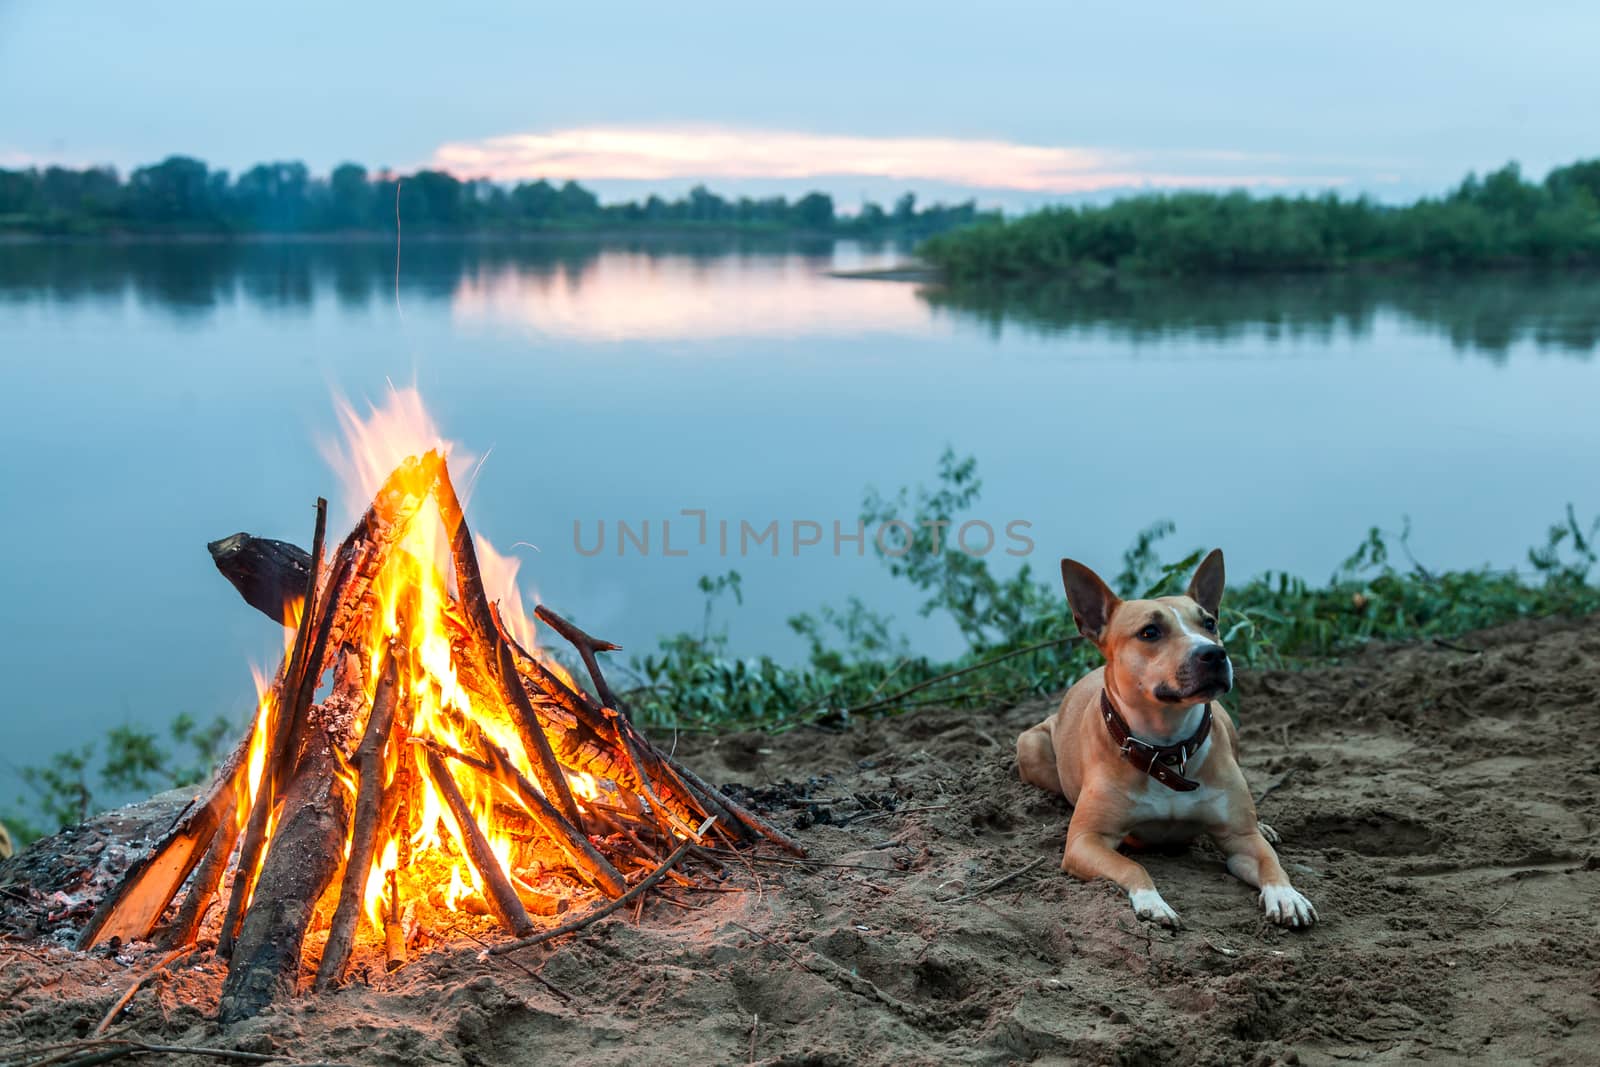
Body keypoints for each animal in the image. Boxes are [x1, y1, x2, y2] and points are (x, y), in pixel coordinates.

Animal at [1024, 550, 1312, 927]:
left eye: (1209, 624)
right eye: (1149, 632)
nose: (1214, 653)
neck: (1166, 749)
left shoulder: (1240, 840)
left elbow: (1269, 863)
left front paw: (1287, 895)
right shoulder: (1086, 842)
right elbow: (1132, 866)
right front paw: (1153, 902)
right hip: (1031, 746)